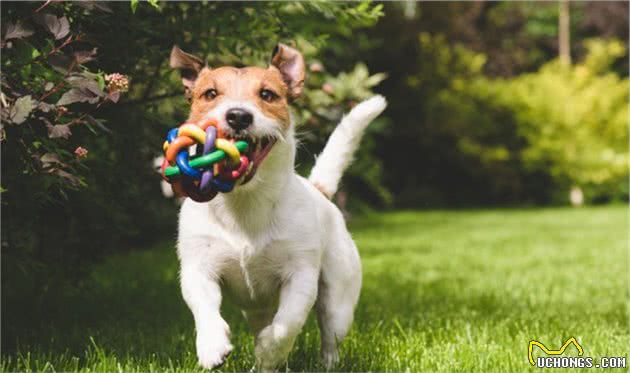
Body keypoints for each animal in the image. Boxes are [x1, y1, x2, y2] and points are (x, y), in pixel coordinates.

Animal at [169, 42, 386, 370]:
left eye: (267, 94)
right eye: (210, 93)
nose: (238, 116)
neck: (245, 202)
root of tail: (320, 192)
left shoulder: (301, 276)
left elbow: (287, 325)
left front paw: (269, 349)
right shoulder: (198, 267)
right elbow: (204, 308)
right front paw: (211, 345)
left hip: (339, 299)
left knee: (330, 335)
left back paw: (320, 363)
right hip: (256, 309)